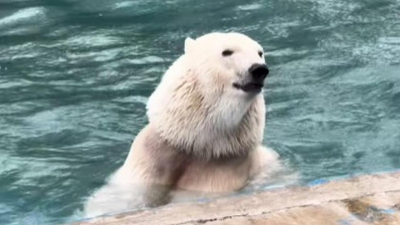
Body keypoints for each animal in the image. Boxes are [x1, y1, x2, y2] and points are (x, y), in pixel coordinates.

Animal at [83, 31, 284, 218]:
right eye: (227, 52)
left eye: (259, 52)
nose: (259, 69)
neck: (194, 142)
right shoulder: (155, 150)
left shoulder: (225, 163)